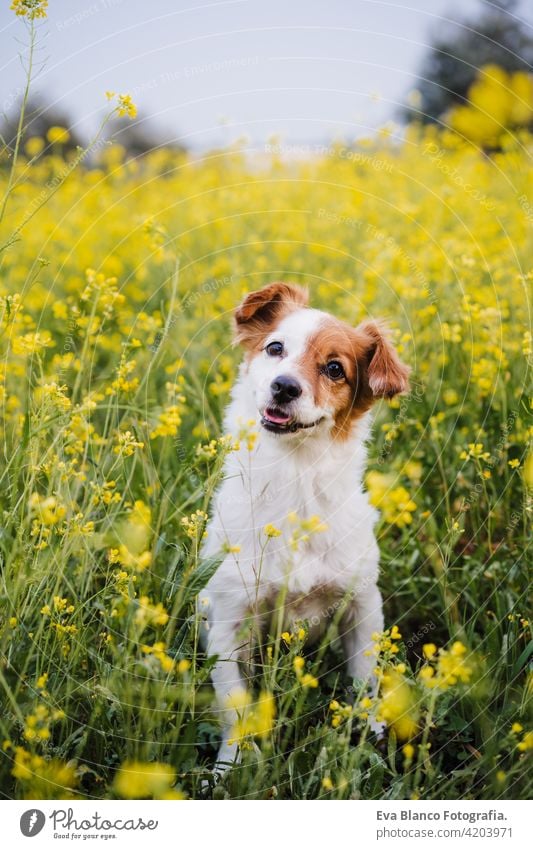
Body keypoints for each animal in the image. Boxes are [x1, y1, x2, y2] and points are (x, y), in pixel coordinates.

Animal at [197, 280, 410, 768]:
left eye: (335, 369)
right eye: (275, 348)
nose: (284, 386)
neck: (295, 481)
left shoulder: (362, 605)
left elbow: (365, 682)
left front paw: (367, 738)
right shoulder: (229, 622)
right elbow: (236, 707)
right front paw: (228, 767)